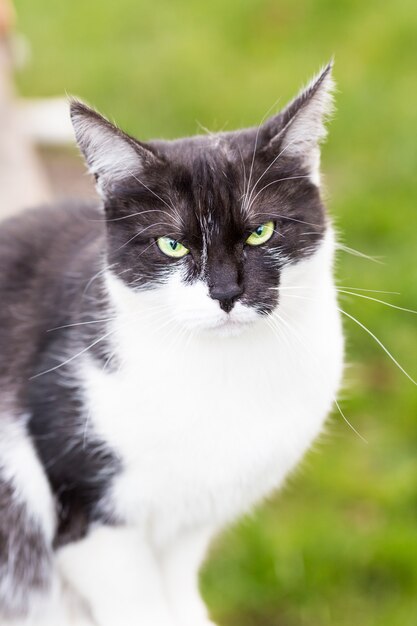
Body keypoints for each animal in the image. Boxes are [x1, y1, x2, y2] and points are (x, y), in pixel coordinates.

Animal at [0, 64, 342, 624]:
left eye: (262, 232)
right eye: (171, 244)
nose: (225, 293)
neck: (223, 376)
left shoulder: (191, 519)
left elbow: (177, 587)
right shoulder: (88, 516)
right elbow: (139, 603)